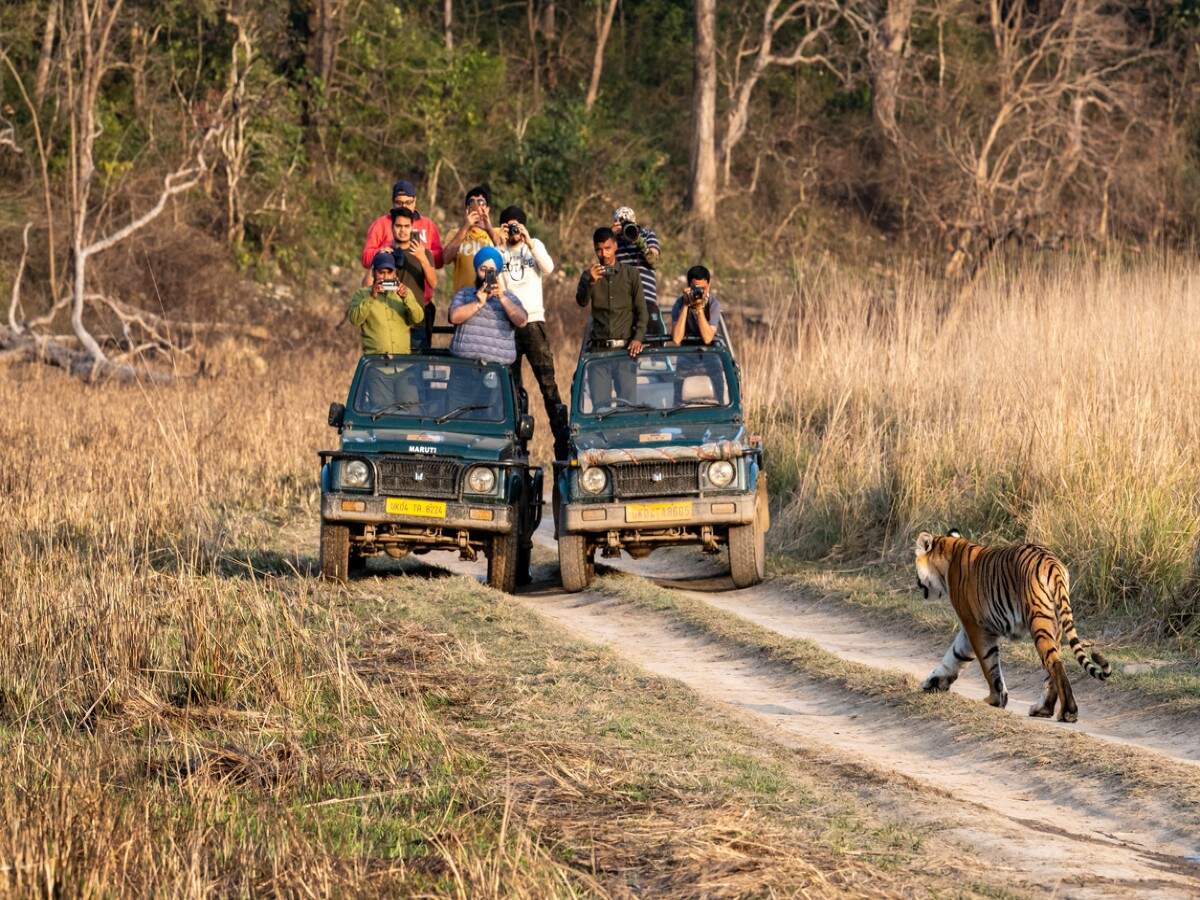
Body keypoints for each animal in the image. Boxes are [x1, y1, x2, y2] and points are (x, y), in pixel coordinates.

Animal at [912, 532, 1108, 724]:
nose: (917, 583)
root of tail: (1053, 563)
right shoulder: (970, 629)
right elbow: (955, 655)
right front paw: (933, 682)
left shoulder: (976, 626)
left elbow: (988, 665)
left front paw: (995, 699)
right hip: (1055, 625)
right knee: (1054, 667)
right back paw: (1043, 710)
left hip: (1039, 621)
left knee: (1055, 663)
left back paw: (1068, 712)